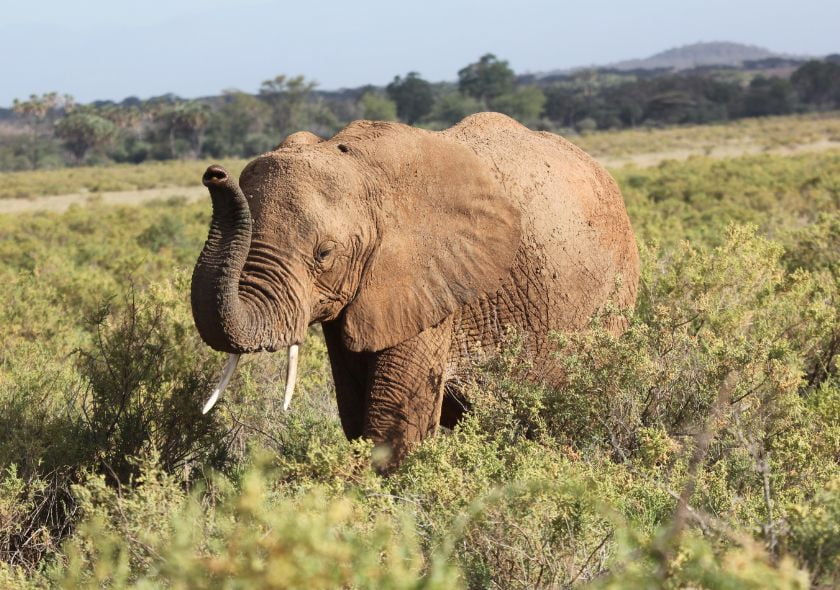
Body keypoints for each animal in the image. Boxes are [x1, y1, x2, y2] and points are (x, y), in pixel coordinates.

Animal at [191, 112, 639, 469]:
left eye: (324, 253)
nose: (214, 173)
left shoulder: (432, 283)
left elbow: (394, 421)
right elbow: (354, 410)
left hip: (612, 296)